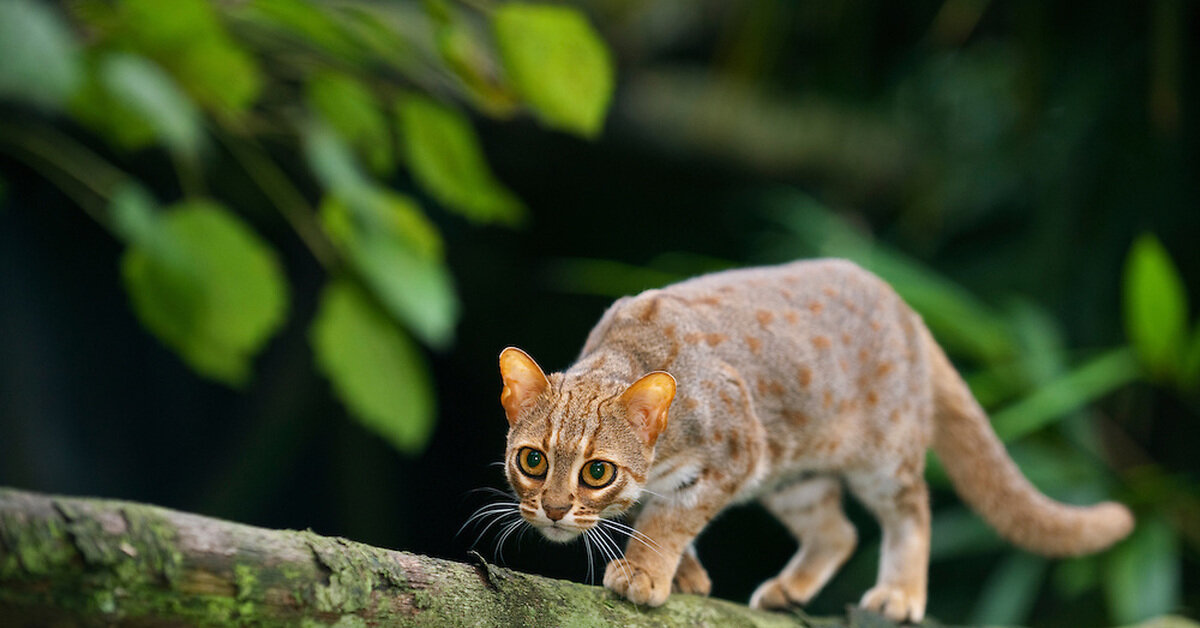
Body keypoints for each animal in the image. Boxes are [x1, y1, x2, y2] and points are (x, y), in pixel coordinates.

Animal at [494, 258, 1132, 619]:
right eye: (532, 460)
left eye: (597, 471)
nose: (553, 509)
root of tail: (907, 309)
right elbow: (660, 510)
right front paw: (686, 573)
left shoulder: (736, 452)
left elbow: (671, 517)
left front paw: (647, 571)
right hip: (793, 474)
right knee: (839, 531)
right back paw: (790, 589)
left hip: (883, 457)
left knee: (913, 511)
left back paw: (900, 595)